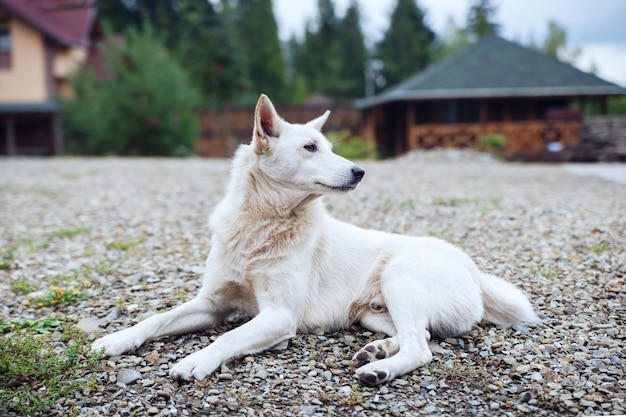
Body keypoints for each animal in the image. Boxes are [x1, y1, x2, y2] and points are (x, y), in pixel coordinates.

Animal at [92, 94, 536, 384]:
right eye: (310, 147)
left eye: (330, 148)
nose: (360, 171)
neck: (263, 224)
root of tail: (471, 267)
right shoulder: (211, 304)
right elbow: (156, 319)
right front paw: (115, 340)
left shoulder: (278, 315)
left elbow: (230, 336)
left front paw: (197, 360)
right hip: (373, 312)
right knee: (421, 335)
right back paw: (376, 352)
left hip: (400, 279)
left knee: (421, 347)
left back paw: (378, 369)